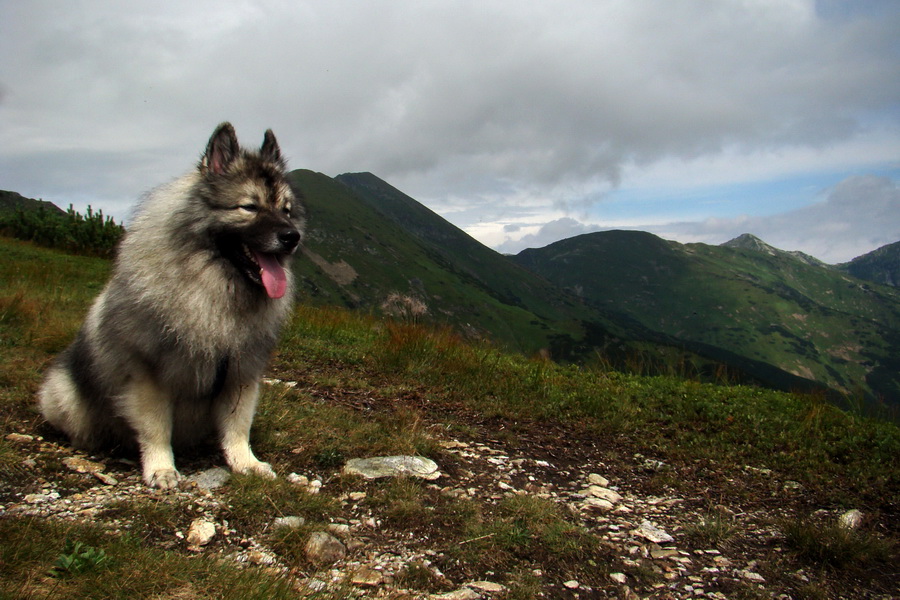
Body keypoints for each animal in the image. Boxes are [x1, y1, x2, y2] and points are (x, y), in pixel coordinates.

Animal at [37, 122, 306, 488]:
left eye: (286, 210)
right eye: (249, 207)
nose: (292, 237)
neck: (216, 289)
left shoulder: (241, 373)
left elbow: (238, 427)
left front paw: (245, 463)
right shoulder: (148, 375)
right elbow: (156, 428)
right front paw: (162, 468)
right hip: (65, 393)